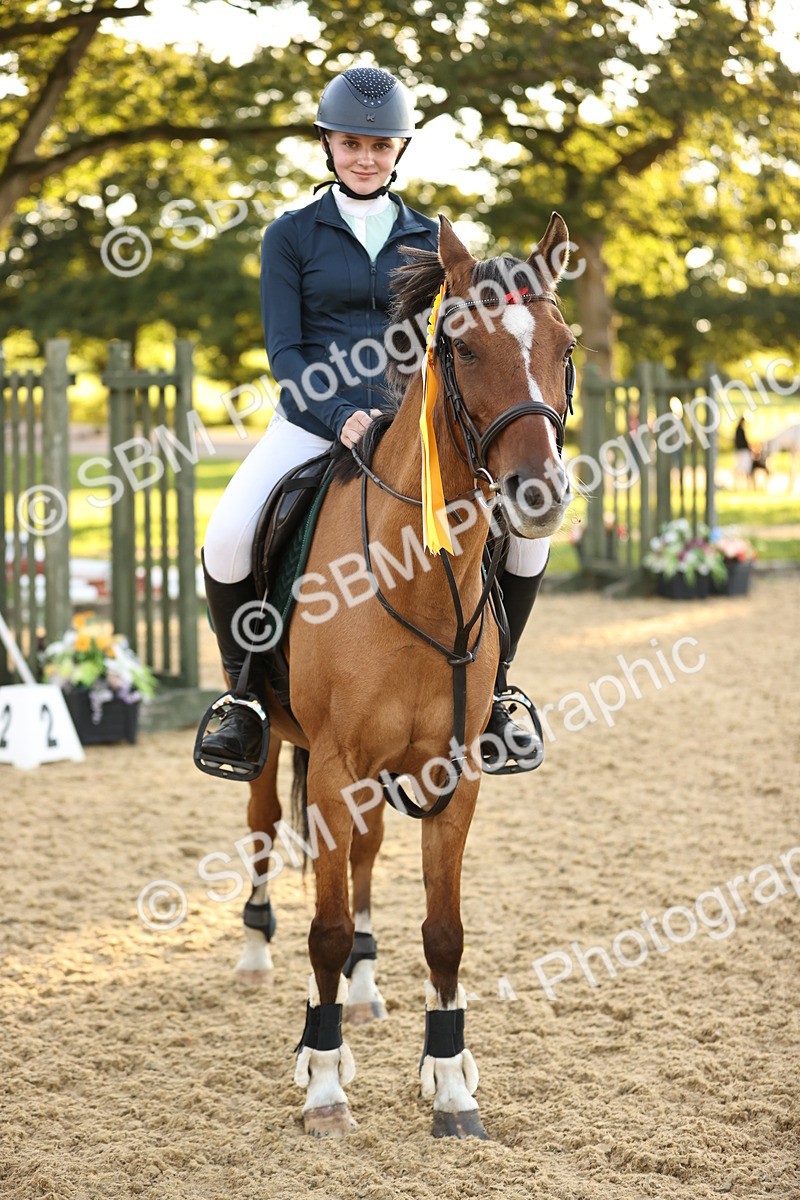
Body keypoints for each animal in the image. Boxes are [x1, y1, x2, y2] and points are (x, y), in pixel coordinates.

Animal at [227, 213, 575, 1139]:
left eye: (565, 346)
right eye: (462, 348)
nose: (539, 492)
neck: (417, 578)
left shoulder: (451, 775)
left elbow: (442, 930)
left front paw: (450, 1084)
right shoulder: (334, 768)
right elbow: (321, 928)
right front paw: (324, 1086)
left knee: (364, 859)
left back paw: (363, 992)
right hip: (278, 744)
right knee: (265, 829)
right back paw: (258, 957)